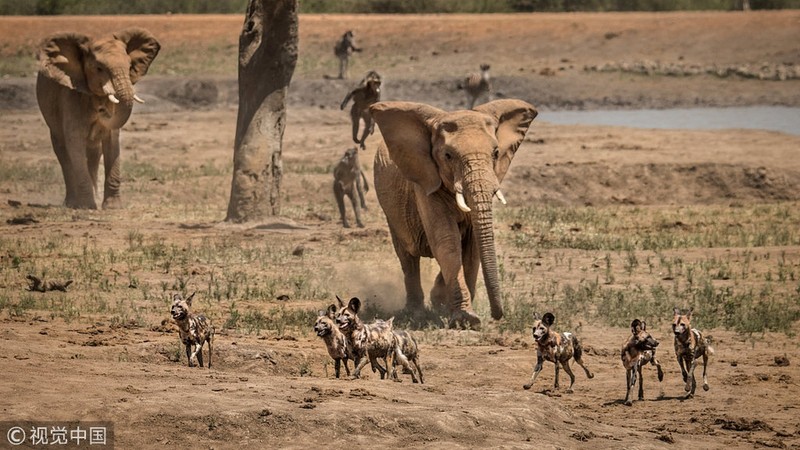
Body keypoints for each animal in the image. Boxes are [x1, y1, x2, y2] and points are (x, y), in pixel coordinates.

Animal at [36, 27, 160, 209]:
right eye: (99, 68)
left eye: (130, 66)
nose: (102, 110)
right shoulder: (70, 96)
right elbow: (74, 143)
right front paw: (87, 206)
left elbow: (112, 141)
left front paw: (113, 207)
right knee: (63, 152)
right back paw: (71, 203)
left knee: (94, 154)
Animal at [370, 99, 536, 330]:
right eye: (448, 156)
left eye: (496, 153)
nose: (497, 315)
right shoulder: (425, 182)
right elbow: (446, 240)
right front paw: (466, 319)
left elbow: (472, 245)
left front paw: (452, 310)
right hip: (391, 209)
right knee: (408, 256)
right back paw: (415, 312)